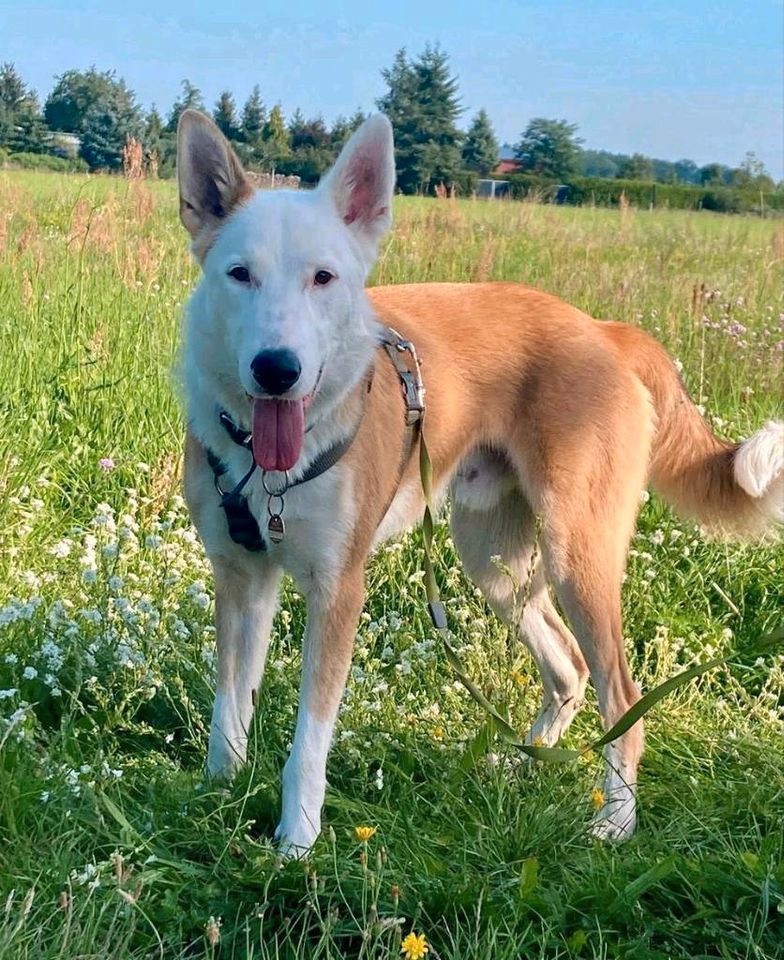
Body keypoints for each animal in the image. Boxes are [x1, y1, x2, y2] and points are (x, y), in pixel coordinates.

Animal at [176, 109, 784, 852]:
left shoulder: (338, 591)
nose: (276, 369)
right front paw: (217, 794)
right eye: (239, 275)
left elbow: (308, 742)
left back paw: (615, 818)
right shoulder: (243, 577)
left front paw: (296, 842)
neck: (273, 472)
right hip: (492, 559)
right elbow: (229, 707)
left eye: (323, 278)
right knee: (569, 667)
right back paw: (525, 762)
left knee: (622, 692)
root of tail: (604, 330)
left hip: (576, 556)